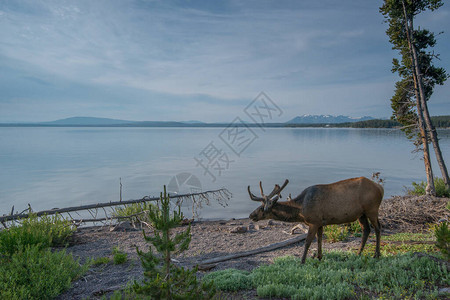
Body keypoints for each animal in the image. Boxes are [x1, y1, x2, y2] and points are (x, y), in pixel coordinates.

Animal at [250, 177, 384, 264]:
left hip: (372, 209)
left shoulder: (314, 221)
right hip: (361, 214)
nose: (251, 215)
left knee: (377, 228)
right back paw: (359, 253)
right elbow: (319, 238)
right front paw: (319, 257)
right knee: (366, 230)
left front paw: (302, 261)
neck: (301, 210)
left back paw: (376, 254)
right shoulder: (320, 222)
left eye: (262, 208)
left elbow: (308, 242)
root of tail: (381, 188)